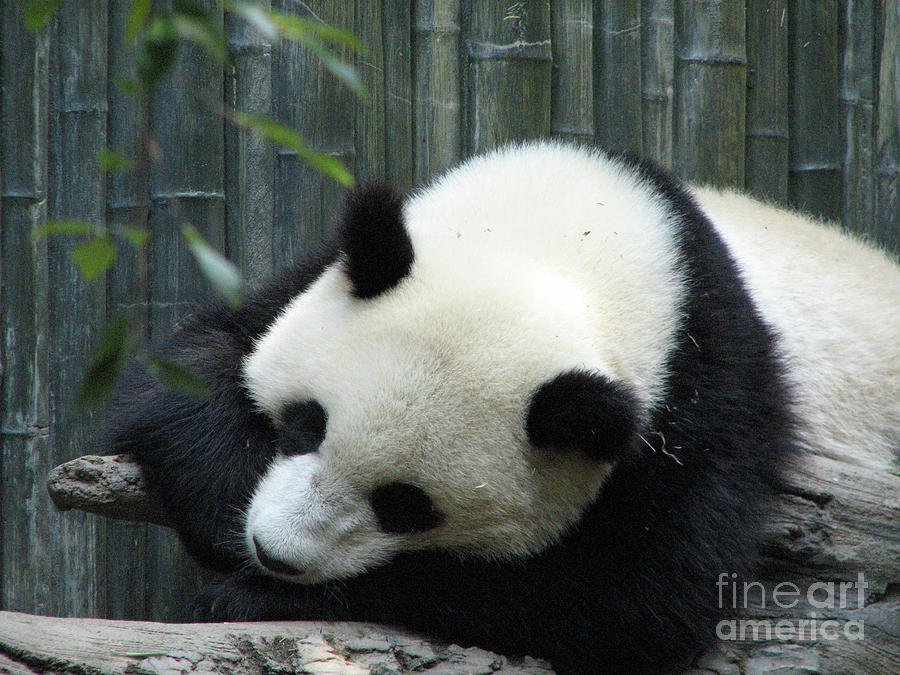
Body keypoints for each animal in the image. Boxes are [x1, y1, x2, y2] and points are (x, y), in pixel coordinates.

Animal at [107, 140, 900, 672]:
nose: (277, 552)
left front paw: (253, 597)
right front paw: (228, 527)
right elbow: (188, 368)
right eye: (307, 424)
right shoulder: (320, 271)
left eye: (406, 506)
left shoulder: (704, 390)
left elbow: (629, 600)